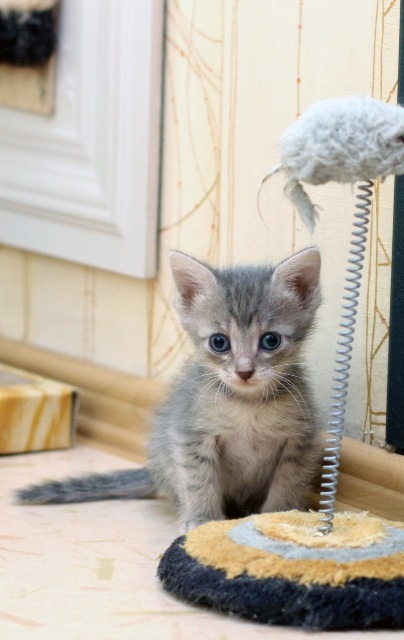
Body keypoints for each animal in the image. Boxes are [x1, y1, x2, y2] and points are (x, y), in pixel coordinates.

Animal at [16, 247, 324, 534]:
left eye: (270, 340)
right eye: (219, 342)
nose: (244, 371)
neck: (247, 404)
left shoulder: (301, 440)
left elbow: (288, 480)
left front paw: (278, 515)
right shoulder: (190, 435)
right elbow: (198, 479)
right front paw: (202, 518)